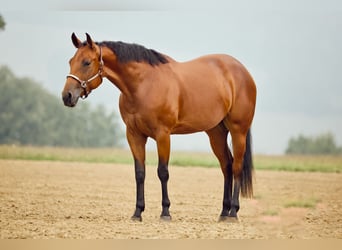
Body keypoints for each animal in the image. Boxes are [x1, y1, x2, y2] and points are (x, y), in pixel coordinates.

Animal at [62, 32, 258, 221]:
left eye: (86, 62)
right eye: (71, 61)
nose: (67, 96)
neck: (143, 85)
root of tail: (243, 72)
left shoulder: (163, 134)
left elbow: (163, 172)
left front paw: (165, 212)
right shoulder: (134, 135)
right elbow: (140, 172)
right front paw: (137, 212)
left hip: (238, 130)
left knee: (236, 166)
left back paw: (233, 212)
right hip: (216, 132)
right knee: (226, 166)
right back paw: (224, 212)